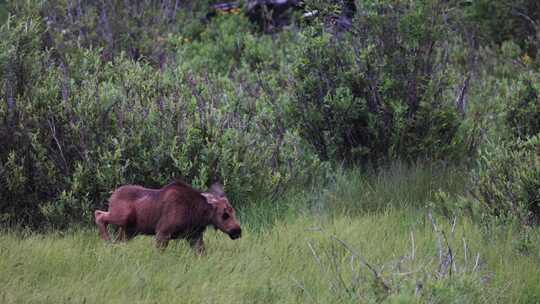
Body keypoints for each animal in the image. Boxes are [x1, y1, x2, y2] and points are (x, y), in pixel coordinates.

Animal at [94, 180, 242, 254]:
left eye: (233, 211)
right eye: (224, 215)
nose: (238, 231)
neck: (197, 214)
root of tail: (112, 195)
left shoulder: (194, 236)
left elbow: (202, 254)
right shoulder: (163, 232)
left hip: (128, 231)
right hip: (121, 217)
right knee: (99, 214)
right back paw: (107, 241)